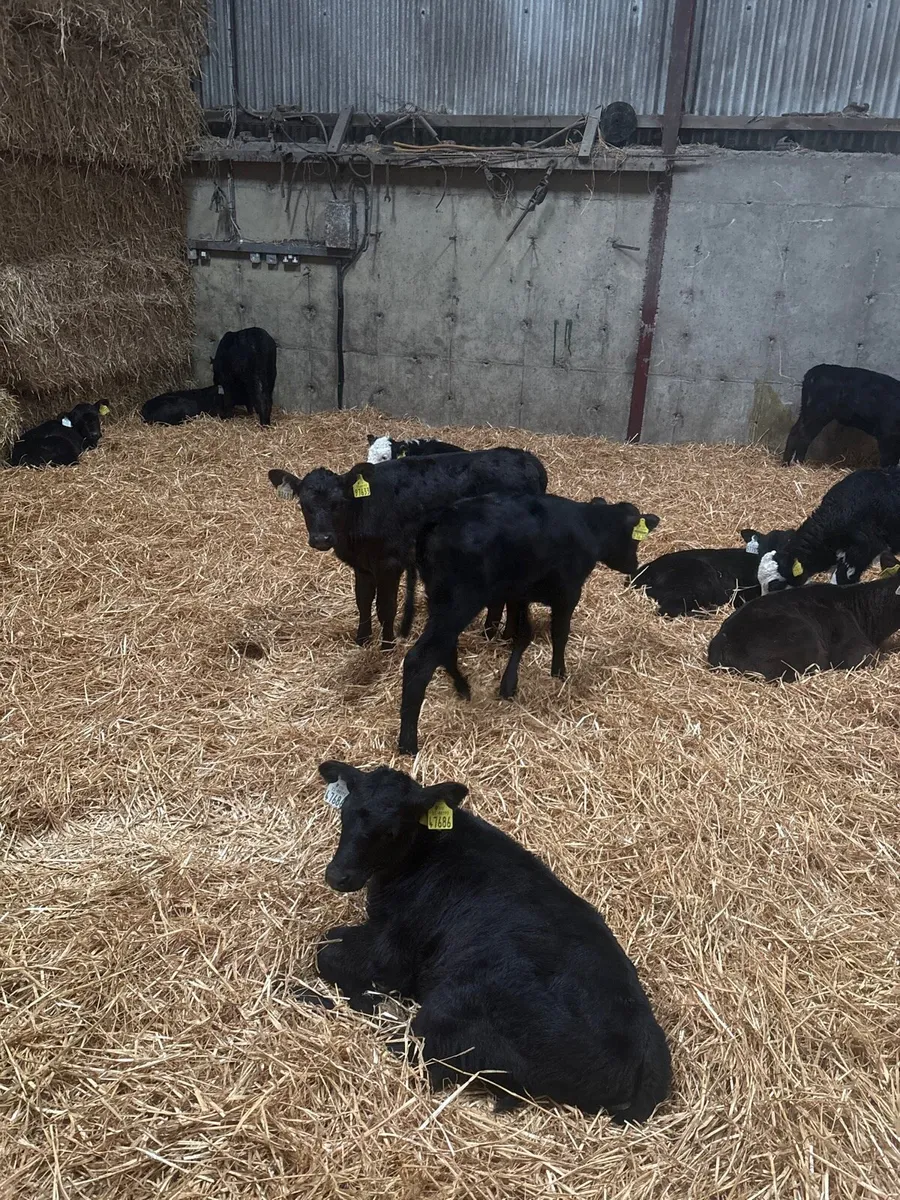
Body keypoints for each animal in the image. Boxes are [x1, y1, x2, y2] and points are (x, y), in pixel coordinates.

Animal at [269, 448, 548, 650]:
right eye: (304, 505)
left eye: (338, 503)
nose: (321, 539)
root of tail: (528, 459)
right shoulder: (362, 566)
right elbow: (363, 601)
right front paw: (362, 640)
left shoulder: (390, 564)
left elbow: (386, 607)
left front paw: (387, 645)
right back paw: (490, 633)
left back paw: (506, 637)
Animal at [310, 760, 671, 1122]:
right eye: (345, 814)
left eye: (391, 831)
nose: (337, 876)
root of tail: (649, 1052)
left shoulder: (394, 953)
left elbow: (325, 954)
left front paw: (365, 994)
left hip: (453, 1006)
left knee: (421, 1053)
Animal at [398, 493, 659, 755]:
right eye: (634, 539)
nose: (634, 565)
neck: (588, 526)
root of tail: (436, 520)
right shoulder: (568, 592)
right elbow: (560, 633)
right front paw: (559, 673)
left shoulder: (519, 594)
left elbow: (523, 635)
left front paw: (508, 685)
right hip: (458, 603)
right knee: (420, 659)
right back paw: (408, 743)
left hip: (439, 602)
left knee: (445, 650)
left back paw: (463, 687)